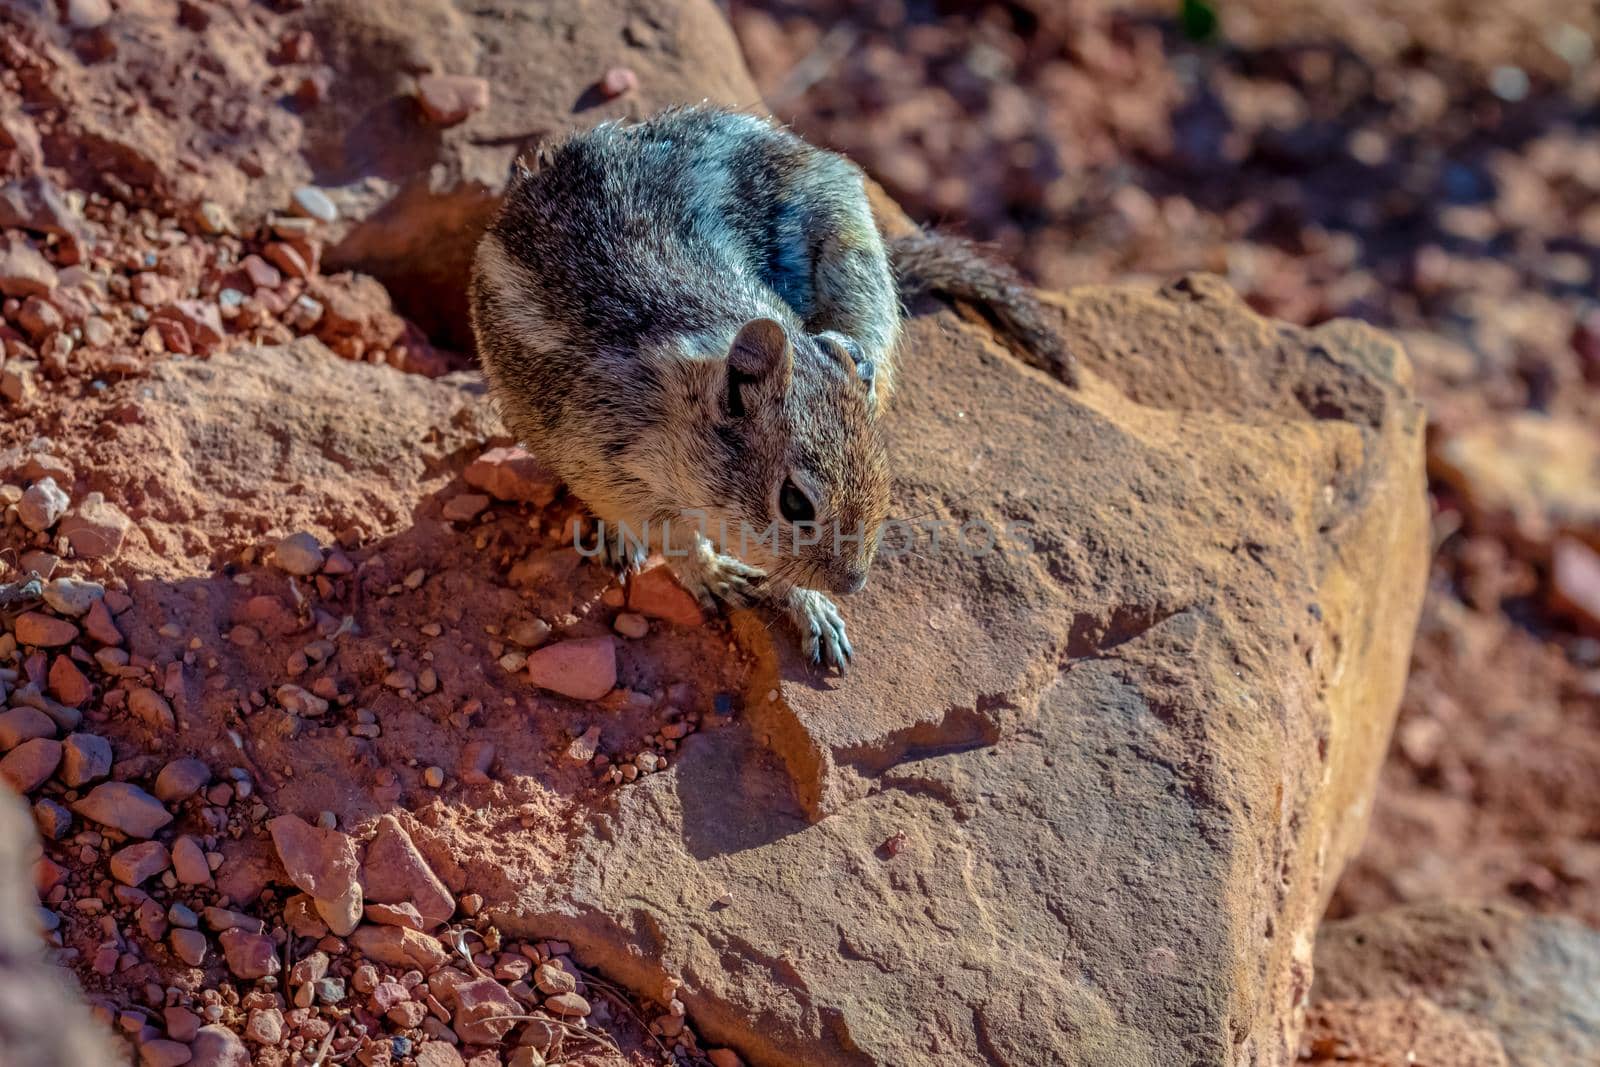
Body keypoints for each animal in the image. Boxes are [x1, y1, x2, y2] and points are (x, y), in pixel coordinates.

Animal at [467, 103, 1062, 671]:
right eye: (795, 503)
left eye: (884, 476)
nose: (853, 583)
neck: (673, 396)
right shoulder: (604, 465)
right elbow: (672, 537)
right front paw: (714, 574)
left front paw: (812, 606)